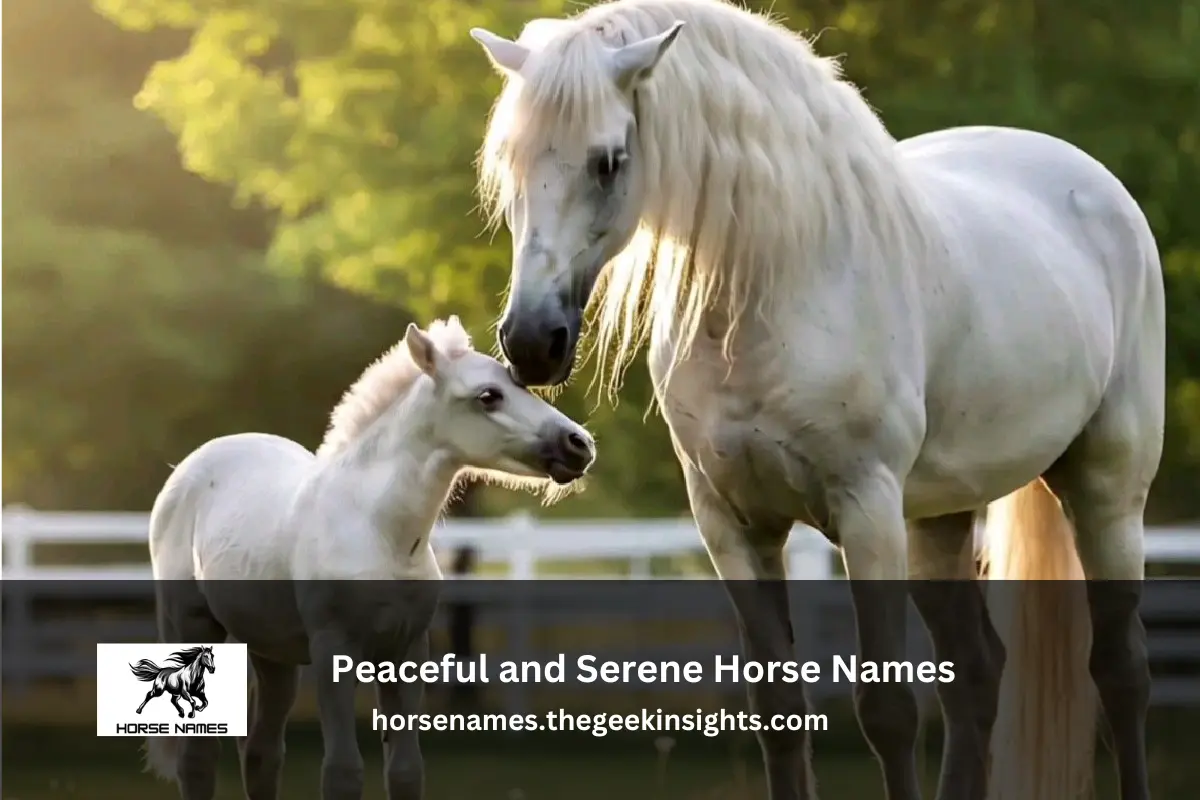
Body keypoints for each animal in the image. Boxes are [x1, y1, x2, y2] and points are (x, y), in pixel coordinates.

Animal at [141, 316, 596, 800]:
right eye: (488, 395)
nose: (580, 444)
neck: (380, 530)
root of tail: (192, 465)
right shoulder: (332, 650)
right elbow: (343, 771)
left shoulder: (407, 652)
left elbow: (406, 770)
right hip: (191, 622)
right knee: (198, 758)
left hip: (271, 650)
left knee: (261, 753)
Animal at [468, 1, 1164, 799]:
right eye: (510, 162)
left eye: (608, 159)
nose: (531, 341)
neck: (774, 291)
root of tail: (1092, 180)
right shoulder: (733, 527)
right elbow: (778, 711)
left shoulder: (866, 512)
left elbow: (888, 713)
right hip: (938, 520)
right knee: (977, 675)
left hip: (1106, 492)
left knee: (1121, 673)